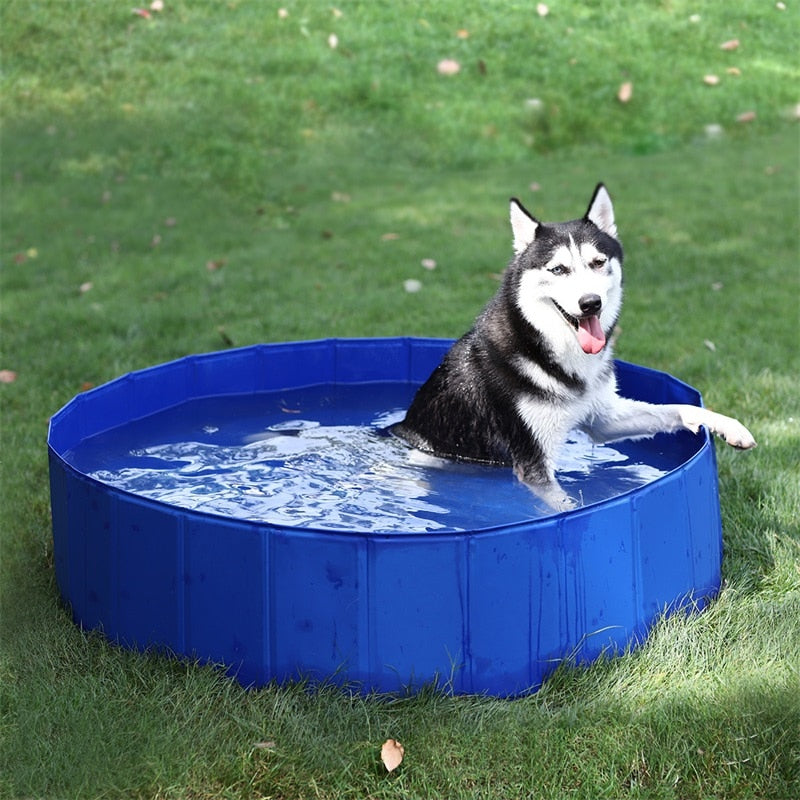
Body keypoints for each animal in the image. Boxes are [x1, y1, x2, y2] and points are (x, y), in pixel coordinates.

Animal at [394, 185, 756, 510]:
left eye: (597, 262)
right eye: (558, 269)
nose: (590, 303)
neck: (552, 350)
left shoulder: (602, 419)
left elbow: (676, 409)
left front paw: (728, 425)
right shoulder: (533, 463)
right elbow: (566, 506)